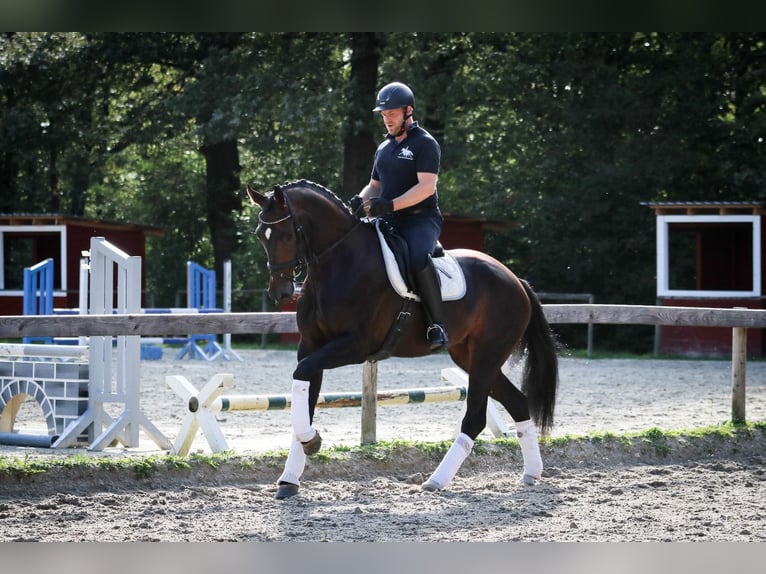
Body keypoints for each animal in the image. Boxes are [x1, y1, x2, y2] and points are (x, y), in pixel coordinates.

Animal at [249, 179, 560, 500]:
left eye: (287, 234)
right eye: (261, 235)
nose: (280, 292)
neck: (338, 263)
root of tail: (515, 280)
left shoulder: (356, 345)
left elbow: (304, 375)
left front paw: (310, 441)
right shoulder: (311, 346)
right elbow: (306, 396)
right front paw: (291, 476)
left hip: (487, 355)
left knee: (476, 418)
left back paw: (436, 480)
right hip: (472, 358)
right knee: (518, 403)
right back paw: (531, 473)